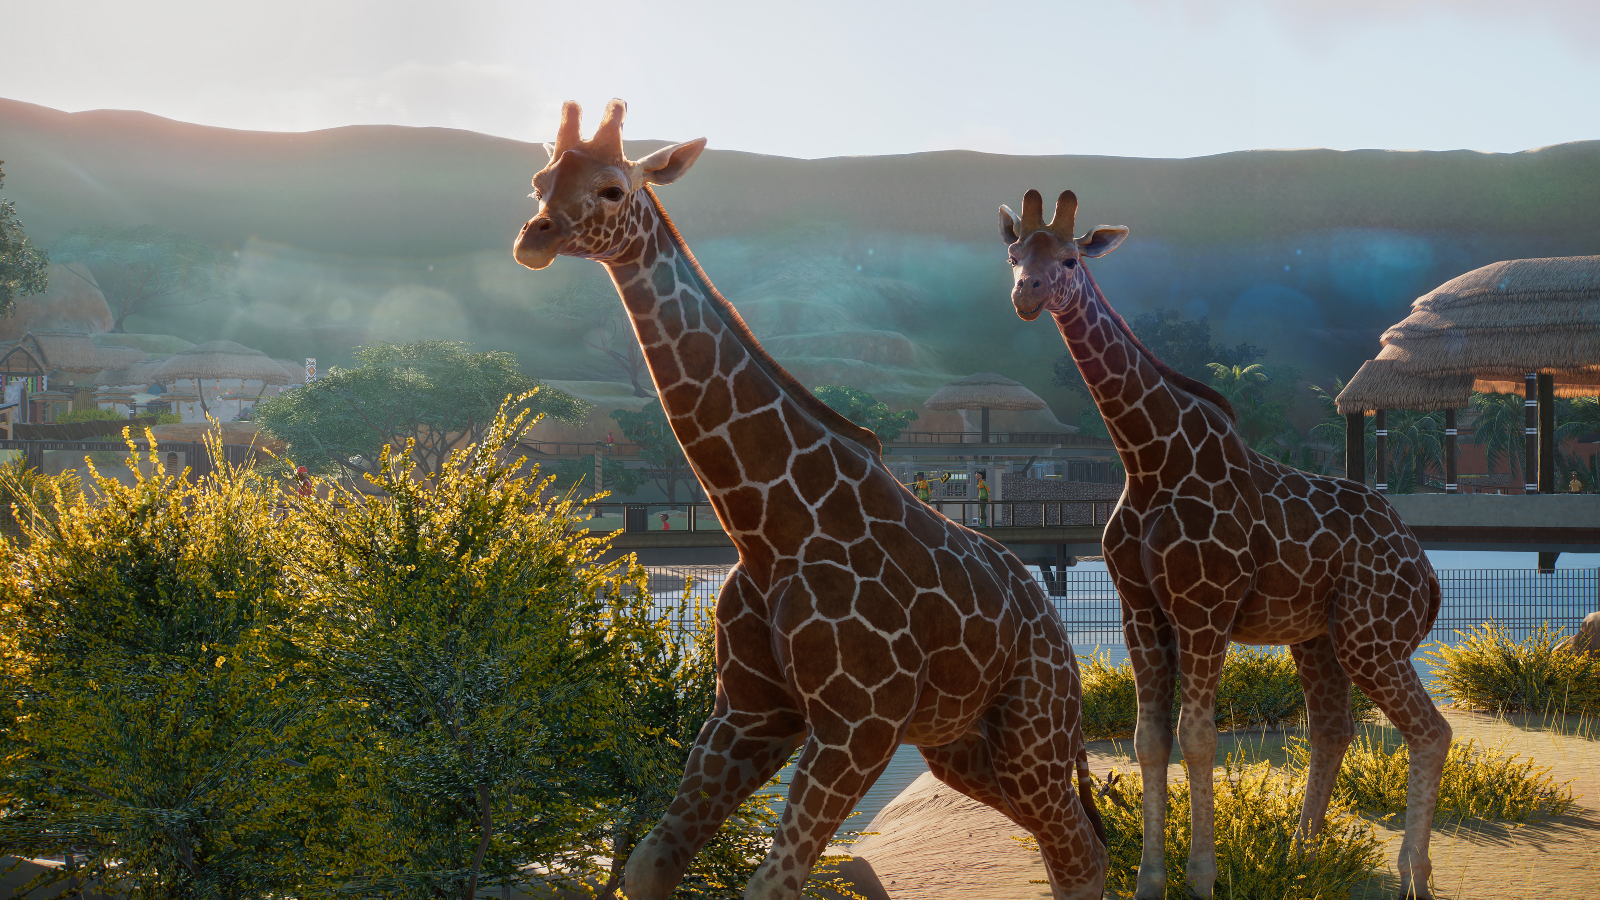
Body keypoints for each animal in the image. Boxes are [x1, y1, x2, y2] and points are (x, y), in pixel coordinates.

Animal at [512, 100, 1108, 900]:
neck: (770, 529)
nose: (535, 237)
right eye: (541, 180)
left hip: (1032, 728)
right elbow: (649, 863)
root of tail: (1057, 633)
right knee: (1072, 846)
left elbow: (771, 882)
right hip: (961, 744)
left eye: (612, 188)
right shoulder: (750, 711)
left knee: (1078, 849)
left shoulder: (858, 724)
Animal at [998, 188, 1450, 900]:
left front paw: (1202, 879)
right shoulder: (1140, 609)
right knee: (1333, 727)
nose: (1027, 293)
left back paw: (1414, 875)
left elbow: (1199, 737)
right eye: (1015, 254)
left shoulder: (1203, 609)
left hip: (1371, 634)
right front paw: (1150, 881)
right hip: (1318, 636)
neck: (1147, 459)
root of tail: (1426, 569)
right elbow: (1149, 739)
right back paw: (1301, 855)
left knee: (1431, 729)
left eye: (1070, 258)